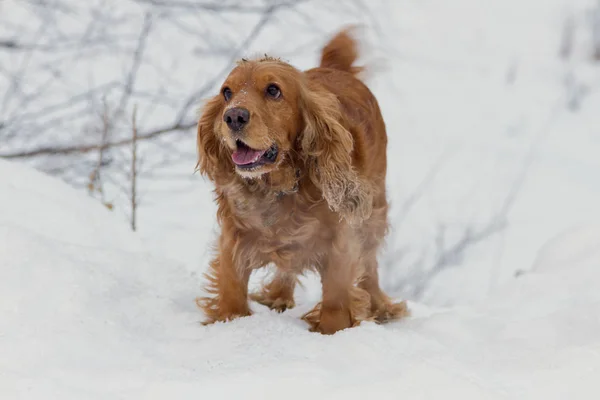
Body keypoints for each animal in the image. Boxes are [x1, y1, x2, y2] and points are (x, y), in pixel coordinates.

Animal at [196, 27, 408, 334]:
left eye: (273, 90)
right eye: (226, 92)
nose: (233, 115)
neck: (281, 186)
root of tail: (336, 68)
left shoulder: (340, 243)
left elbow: (336, 304)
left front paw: (331, 332)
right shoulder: (234, 239)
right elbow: (232, 294)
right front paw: (231, 324)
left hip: (373, 212)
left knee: (369, 265)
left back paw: (381, 307)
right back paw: (277, 297)